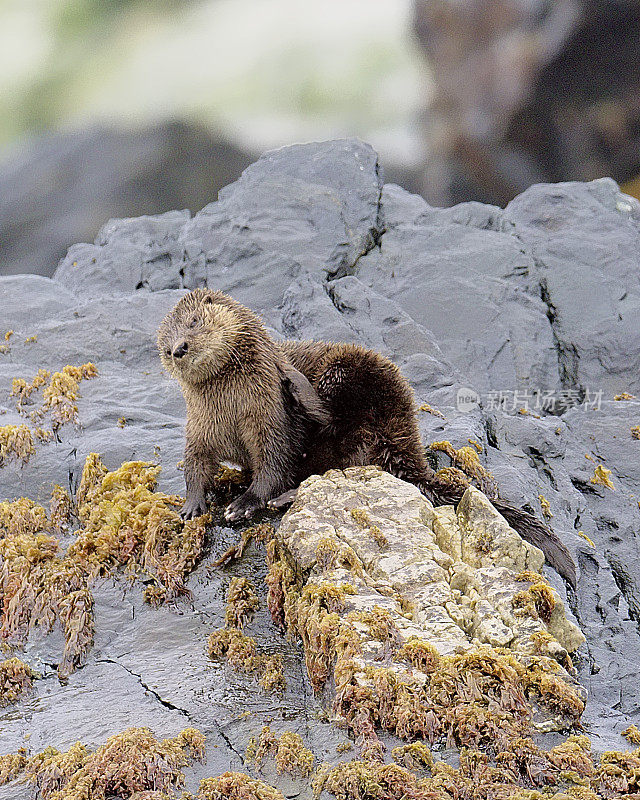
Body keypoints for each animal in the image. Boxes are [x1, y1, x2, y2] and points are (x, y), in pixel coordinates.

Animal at [158, 290, 576, 588]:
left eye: (193, 322)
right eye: (165, 343)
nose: (179, 349)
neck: (229, 407)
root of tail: (406, 439)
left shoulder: (268, 419)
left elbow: (275, 462)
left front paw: (244, 503)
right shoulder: (200, 427)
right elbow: (194, 461)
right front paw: (192, 505)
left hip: (354, 372)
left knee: (335, 428)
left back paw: (296, 392)